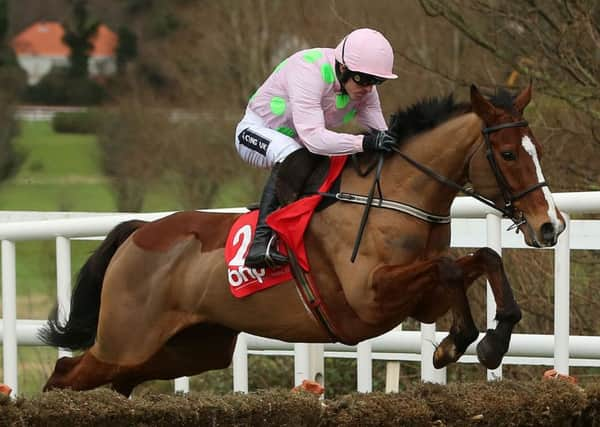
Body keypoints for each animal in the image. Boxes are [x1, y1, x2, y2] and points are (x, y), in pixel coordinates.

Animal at [41, 84, 564, 398]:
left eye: (537, 149)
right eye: (508, 153)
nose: (550, 226)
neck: (395, 197)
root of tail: (139, 232)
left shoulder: (420, 299)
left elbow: (483, 257)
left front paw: (486, 341)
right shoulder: (368, 297)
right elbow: (452, 266)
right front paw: (461, 343)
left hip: (187, 348)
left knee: (110, 379)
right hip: (126, 339)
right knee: (65, 375)